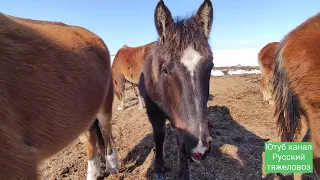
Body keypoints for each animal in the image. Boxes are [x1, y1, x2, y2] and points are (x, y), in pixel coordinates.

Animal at [139, 0, 214, 179]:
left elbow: (180, 141)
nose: (199, 148)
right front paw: (158, 168)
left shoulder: (180, 120)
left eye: (210, 67)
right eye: (165, 69)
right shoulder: (154, 114)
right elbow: (159, 137)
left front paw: (183, 173)